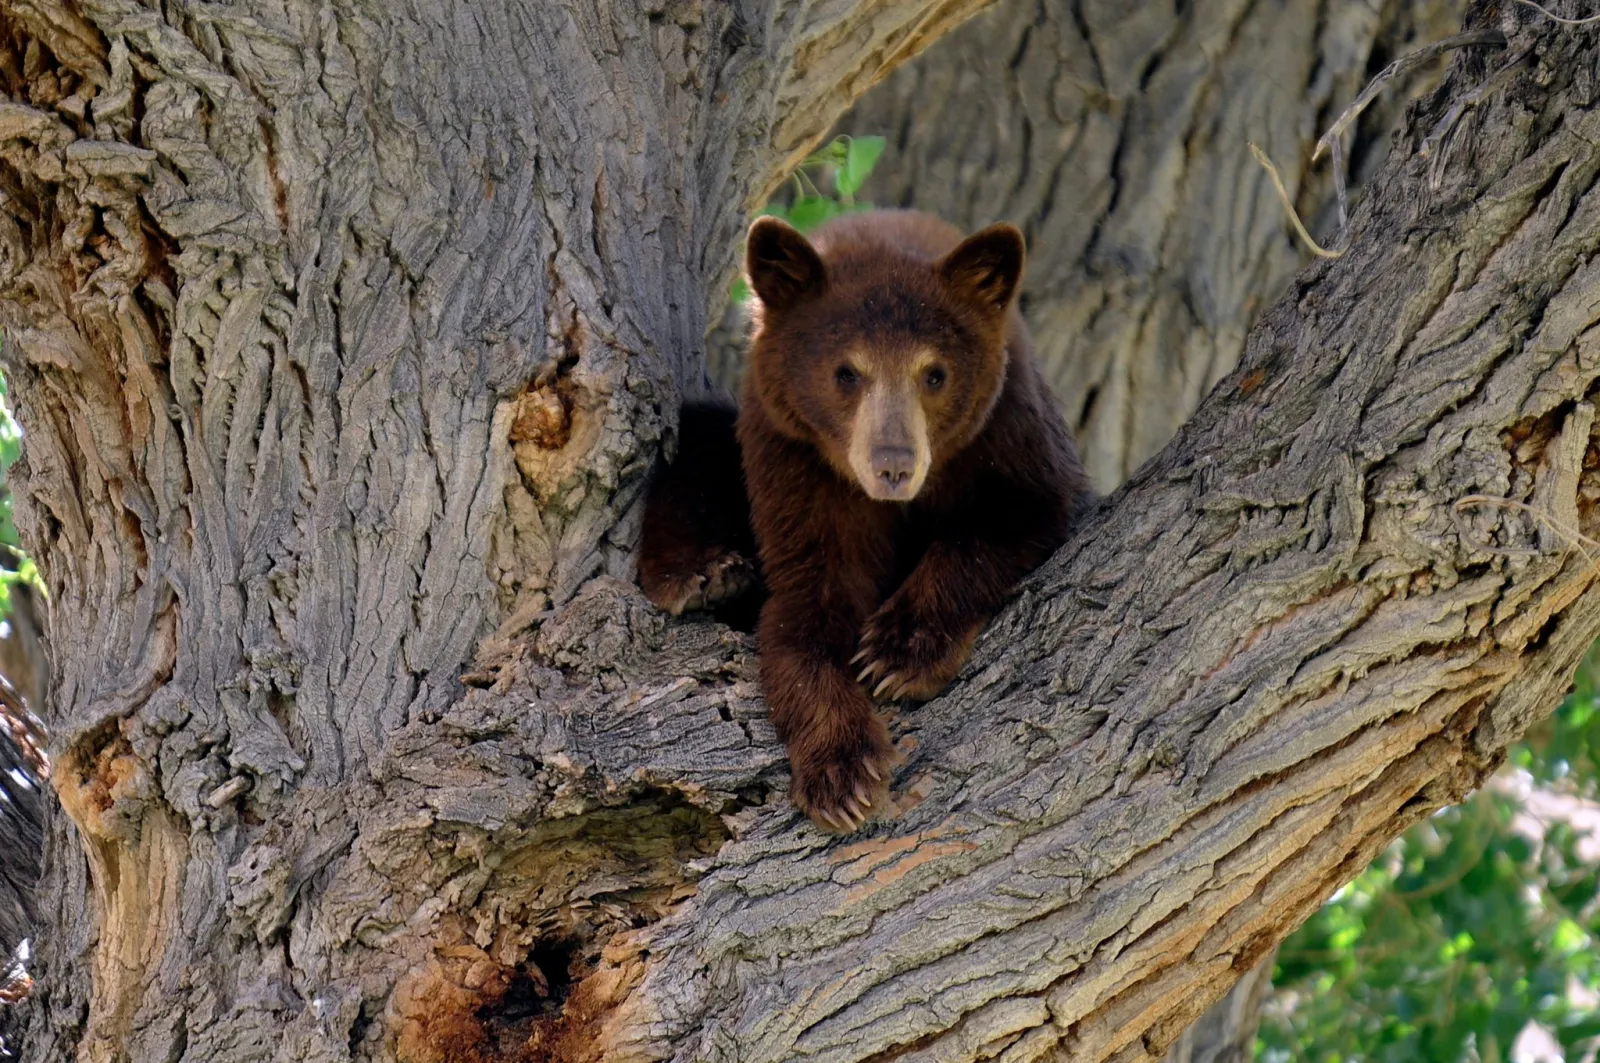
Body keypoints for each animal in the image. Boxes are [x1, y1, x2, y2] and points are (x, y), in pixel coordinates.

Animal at [637, 209, 1091, 832]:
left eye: (934, 373)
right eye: (847, 372)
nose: (893, 466)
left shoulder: (1012, 431)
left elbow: (1019, 517)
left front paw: (898, 652)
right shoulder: (795, 464)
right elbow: (808, 605)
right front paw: (842, 773)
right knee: (699, 431)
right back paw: (702, 574)